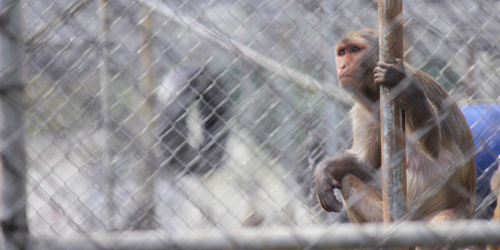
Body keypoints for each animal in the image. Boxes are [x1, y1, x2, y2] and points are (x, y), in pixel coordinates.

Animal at [316, 29, 476, 223]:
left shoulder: (409, 75)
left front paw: (401, 84)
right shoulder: (362, 112)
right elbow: (364, 165)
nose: (342, 66)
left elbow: (433, 149)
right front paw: (324, 171)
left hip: (452, 214)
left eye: (354, 50)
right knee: (347, 180)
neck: (376, 94)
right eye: (341, 53)